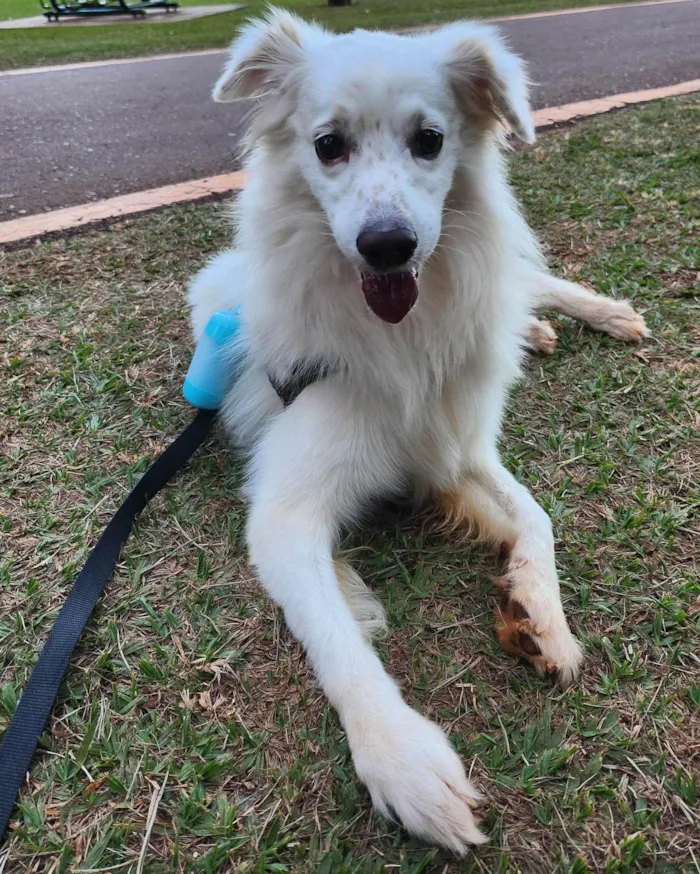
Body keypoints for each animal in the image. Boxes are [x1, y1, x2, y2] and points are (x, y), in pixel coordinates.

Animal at [187, 10, 652, 848]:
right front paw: (403, 761)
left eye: (430, 139)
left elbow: (539, 517)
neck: (400, 336)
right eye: (328, 144)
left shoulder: (457, 445)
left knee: (531, 277)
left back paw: (597, 315)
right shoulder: (286, 514)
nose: (388, 245)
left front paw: (542, 614)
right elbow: (338, 642)